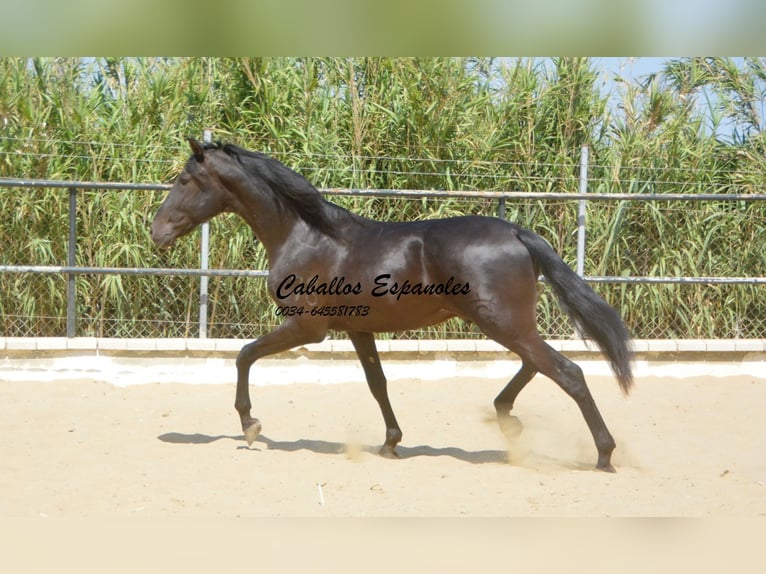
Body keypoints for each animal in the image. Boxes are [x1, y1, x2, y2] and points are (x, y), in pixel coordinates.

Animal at [152, 138, 636, 472]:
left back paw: (604, 454)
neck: (305, 235)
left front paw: (250, 425)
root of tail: (517, 232)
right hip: (506, 323)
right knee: (538, 364)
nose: (156, 231)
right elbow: (378, 383)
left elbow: (244, 354)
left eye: (183, 180)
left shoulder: (308, 327)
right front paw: (390, 442)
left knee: (567, 372)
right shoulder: (357, 328)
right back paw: (507, 418)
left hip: (501, 322)